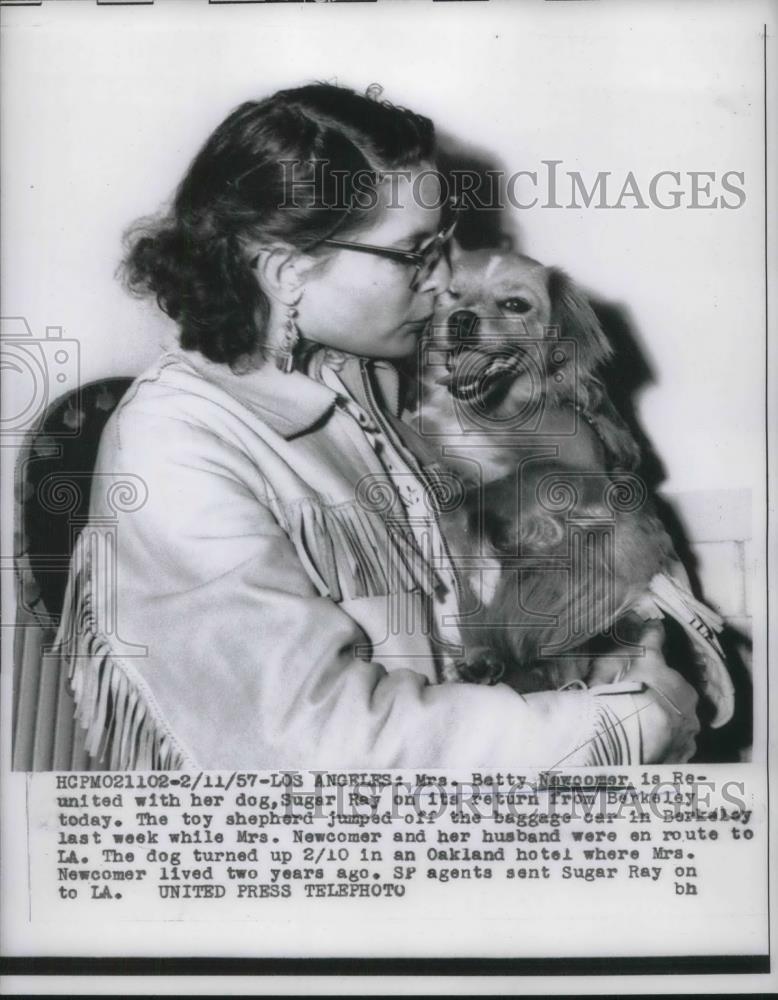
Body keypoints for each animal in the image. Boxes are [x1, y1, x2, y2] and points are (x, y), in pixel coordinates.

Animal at [410, 246, 732, 724]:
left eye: (515, 304)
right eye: (451, 295)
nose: (461, 319)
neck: (491, 415)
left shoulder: (589, 482)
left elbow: (513, 481)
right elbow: (464, 555)